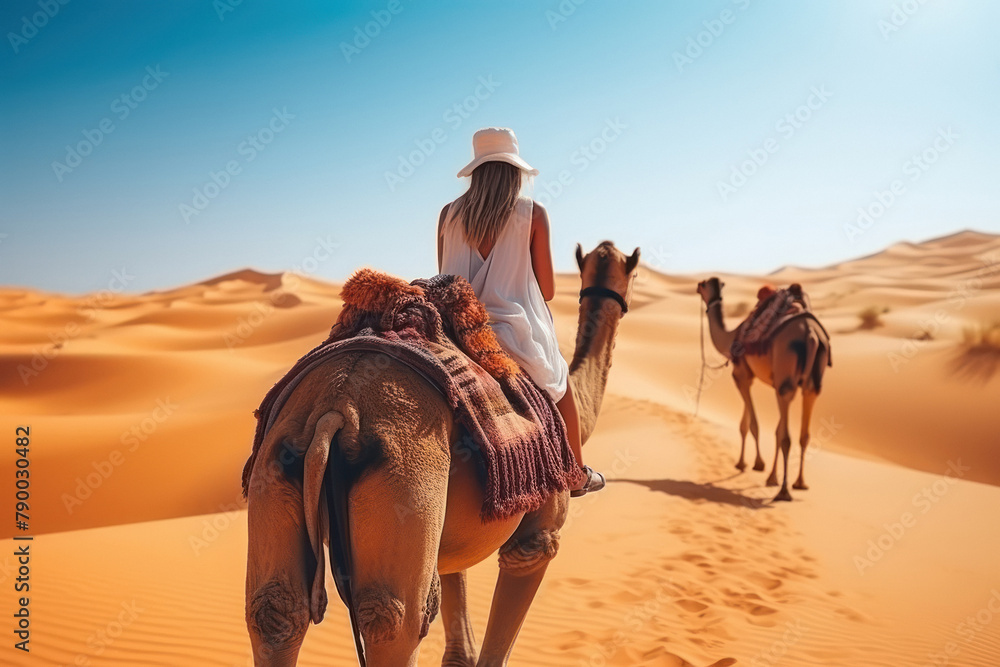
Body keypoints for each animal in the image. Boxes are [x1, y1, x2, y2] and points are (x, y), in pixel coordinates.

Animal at [245, 241, 640, 666]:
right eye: (633, 273)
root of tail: (335, 408)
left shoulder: (449, 541)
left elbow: (458, 644)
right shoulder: (538, 537)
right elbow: (498, 638)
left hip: (276, 465)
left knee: (276, 612)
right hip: (406, 479)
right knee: (395, 619)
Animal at [695, 277, 830, 502]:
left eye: (704, 284)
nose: (697, 286)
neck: (732, 336)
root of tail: (811, 335)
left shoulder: (740, 374)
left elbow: (752, 425)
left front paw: (757, 464)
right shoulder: (749, 376)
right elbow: (750, 424)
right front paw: (752, 468)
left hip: (785, 377)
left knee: (786, 436)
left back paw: (784, 491)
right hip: (812, 383)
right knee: (803, 433)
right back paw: (799, 483)